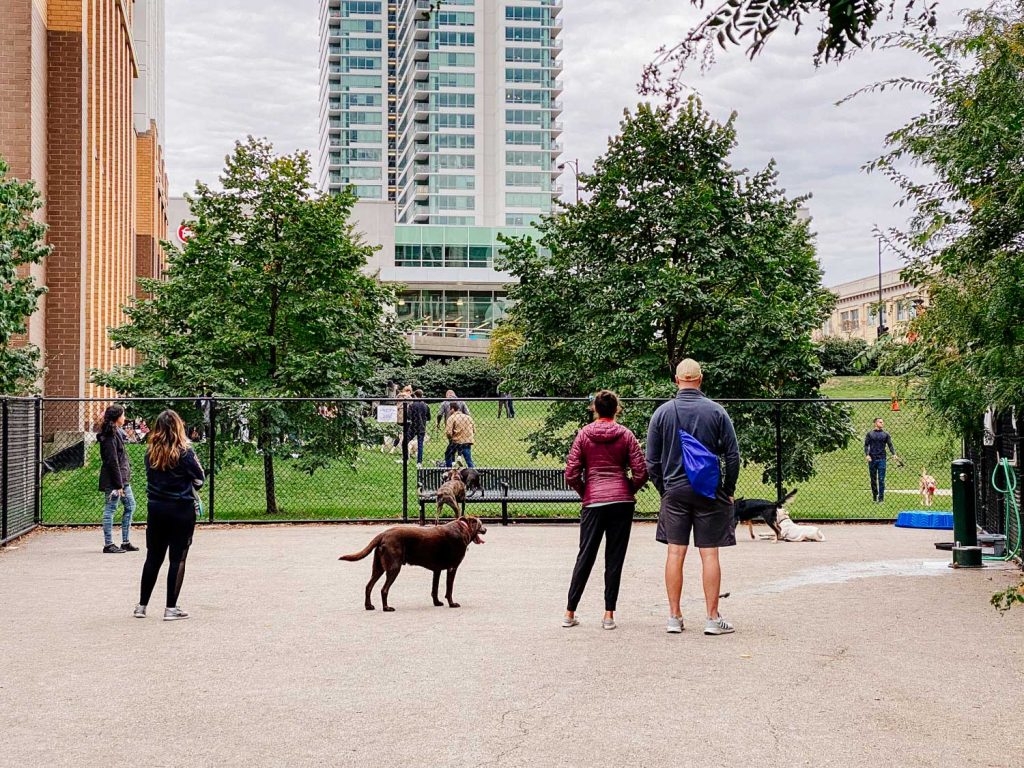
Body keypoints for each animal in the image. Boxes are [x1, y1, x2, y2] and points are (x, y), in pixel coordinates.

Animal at [337, 518, 485, 614]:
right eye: (481, 524)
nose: (486, 530)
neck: (463, 528)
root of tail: (383, 534)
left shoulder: (436, 570)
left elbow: (434, 589)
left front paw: (437, 603)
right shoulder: (452, 568)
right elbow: (449, 589)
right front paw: (452, 604)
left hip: (378, 568)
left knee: (368, 586)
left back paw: (369, 606)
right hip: (394, 568)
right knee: (384, 589)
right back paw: (387, 608)